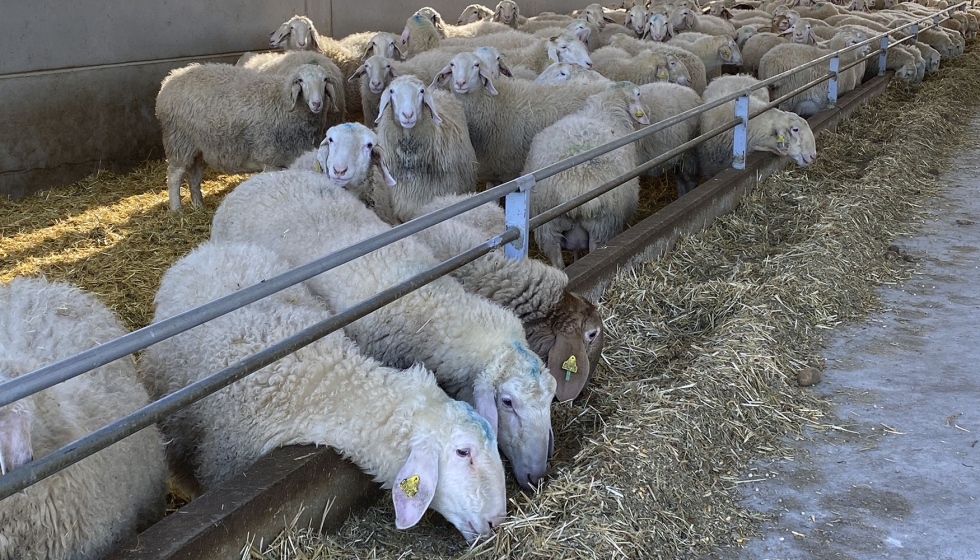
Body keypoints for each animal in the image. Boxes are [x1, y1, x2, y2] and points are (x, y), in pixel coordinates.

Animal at [156, 62, 335, 211]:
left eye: (325, 80)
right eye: (300, 80)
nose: (316, 104)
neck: (283, 100)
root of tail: (170, 79)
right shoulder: (271, 159)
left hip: (201, 147)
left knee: (194, 176)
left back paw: (198, 205)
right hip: (179, 140)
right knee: (174, 175)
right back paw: (176, 209)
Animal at [522, 82, 650, 269]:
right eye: (639, 94)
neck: (609, 105)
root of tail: (574, 185)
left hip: (548, 229)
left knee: (558, 263)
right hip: (602, 229)